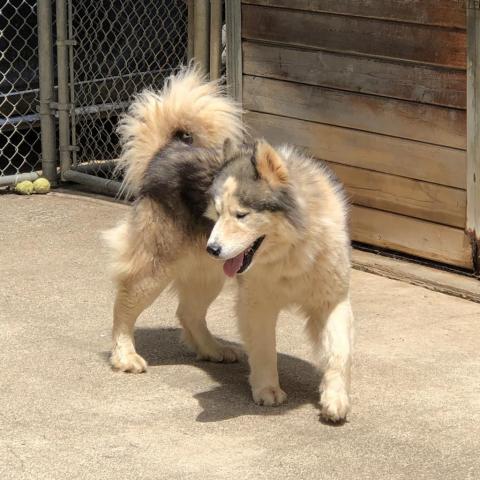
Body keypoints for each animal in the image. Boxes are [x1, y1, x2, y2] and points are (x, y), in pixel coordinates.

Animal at [105, 66, 352, 420]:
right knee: (124, 303)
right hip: (156, 268)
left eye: (241, 215)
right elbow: (264, 349)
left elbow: (338, 352)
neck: (291, 250)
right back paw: (124, 355)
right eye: (216, 212)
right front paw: (267, 389)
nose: (213, 248)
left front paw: (335, 398)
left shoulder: (332, 300)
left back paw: (212, 349)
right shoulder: (257, 303)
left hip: (209, 274)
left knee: (188, 312)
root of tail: (166, 152)